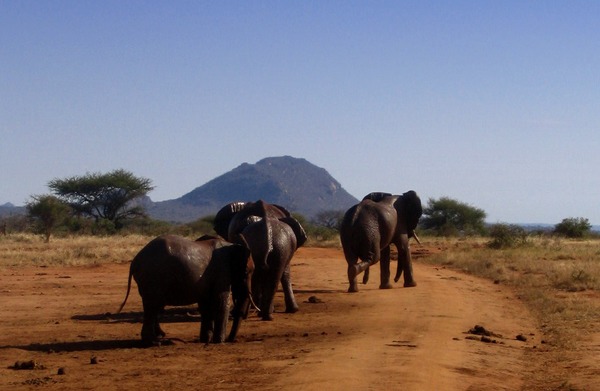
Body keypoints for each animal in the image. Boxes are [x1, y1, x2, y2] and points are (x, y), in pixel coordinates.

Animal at [116, 234, 253, 344]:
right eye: (247, 272)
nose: (231, 340)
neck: (233, 245)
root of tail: (135, 261)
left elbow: (206, 305)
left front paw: (206, 340)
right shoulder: (222, 270)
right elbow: (221, 302)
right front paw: (219, 342)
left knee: (152, 307)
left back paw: (159, 338)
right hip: (152, 277)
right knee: (152, 307)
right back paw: (156, 342)